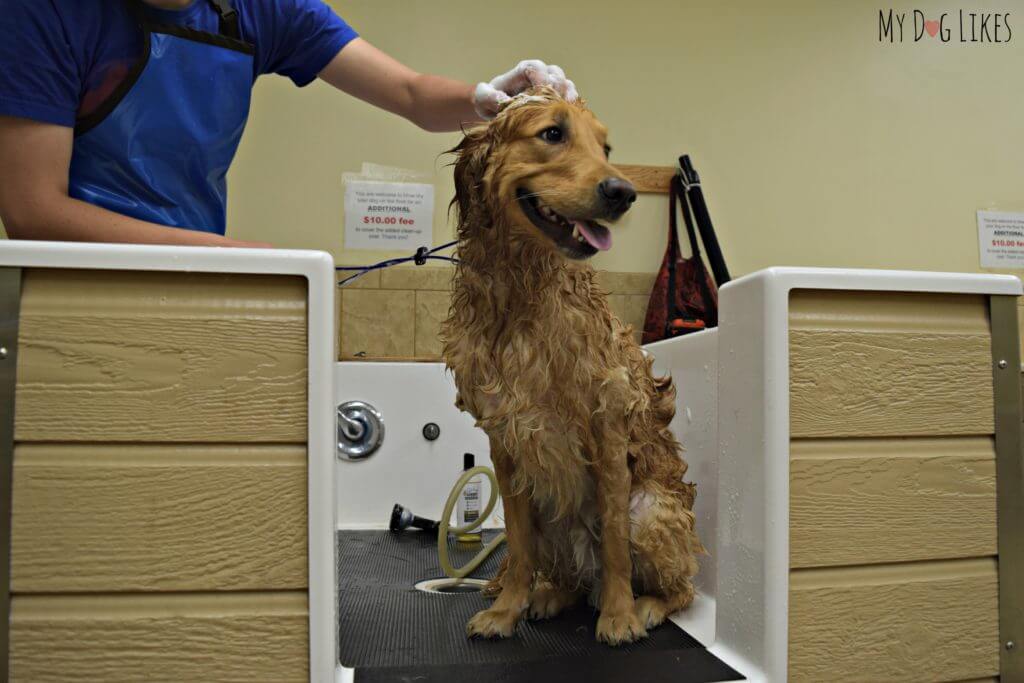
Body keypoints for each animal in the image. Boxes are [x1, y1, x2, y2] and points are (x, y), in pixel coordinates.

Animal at [440, 87, 704, 647]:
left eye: (606, 147)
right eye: (552, 133)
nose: (623, 192)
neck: (520, 292)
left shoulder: (607, 426)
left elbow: (616, 546)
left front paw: (620, 616)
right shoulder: (505, 439)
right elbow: (519, 548)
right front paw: (508, 610)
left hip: (652, 511)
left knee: (681, 587)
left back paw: (646, 604)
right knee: (564, 575)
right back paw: (548, 595)